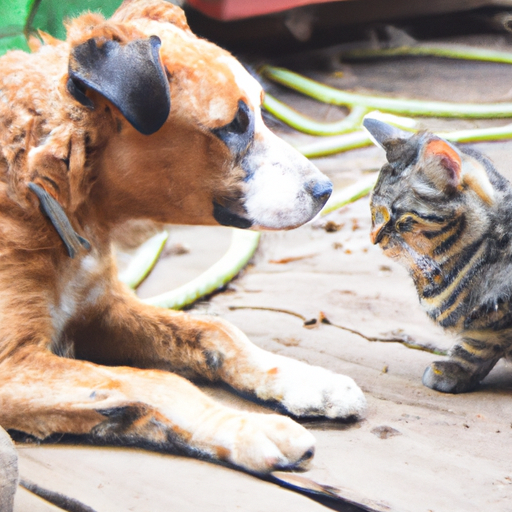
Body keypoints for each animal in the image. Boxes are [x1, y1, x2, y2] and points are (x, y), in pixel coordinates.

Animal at [1, 0, 368, 474]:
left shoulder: (103, 310)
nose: (325, 191)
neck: (50, 183)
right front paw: (248, 428)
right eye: (233, 126)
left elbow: (215, 330)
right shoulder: (12, 363)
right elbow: (160, 381)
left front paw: (305, 380)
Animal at [362, 118, 512, 394]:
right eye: (373, 212)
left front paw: (451, 371)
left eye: (400, 219)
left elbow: (477, 347)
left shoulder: (496, 316)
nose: (373, 237)